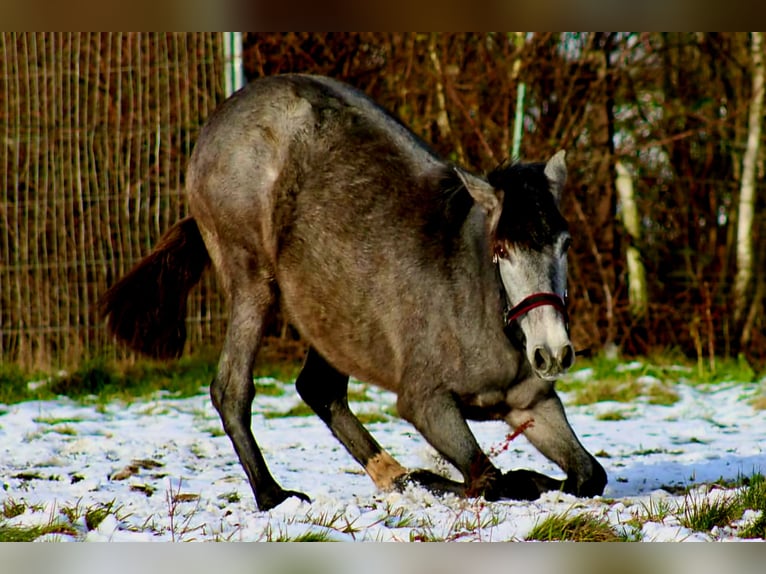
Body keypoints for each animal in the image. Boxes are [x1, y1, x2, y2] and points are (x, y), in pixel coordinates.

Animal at [100, 74, 608, 510]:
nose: (552, 353)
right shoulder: (427, 405)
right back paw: (275, 495)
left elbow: (588, 476)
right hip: (253, 283)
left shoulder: (533, 405)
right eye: (503, 249)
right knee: (231, 390)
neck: (478, 300)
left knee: (318, 389)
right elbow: (489, 479)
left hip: (332, 314)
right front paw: (447, 480)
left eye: (566, 243)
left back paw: (393, 475)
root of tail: (218, 123)